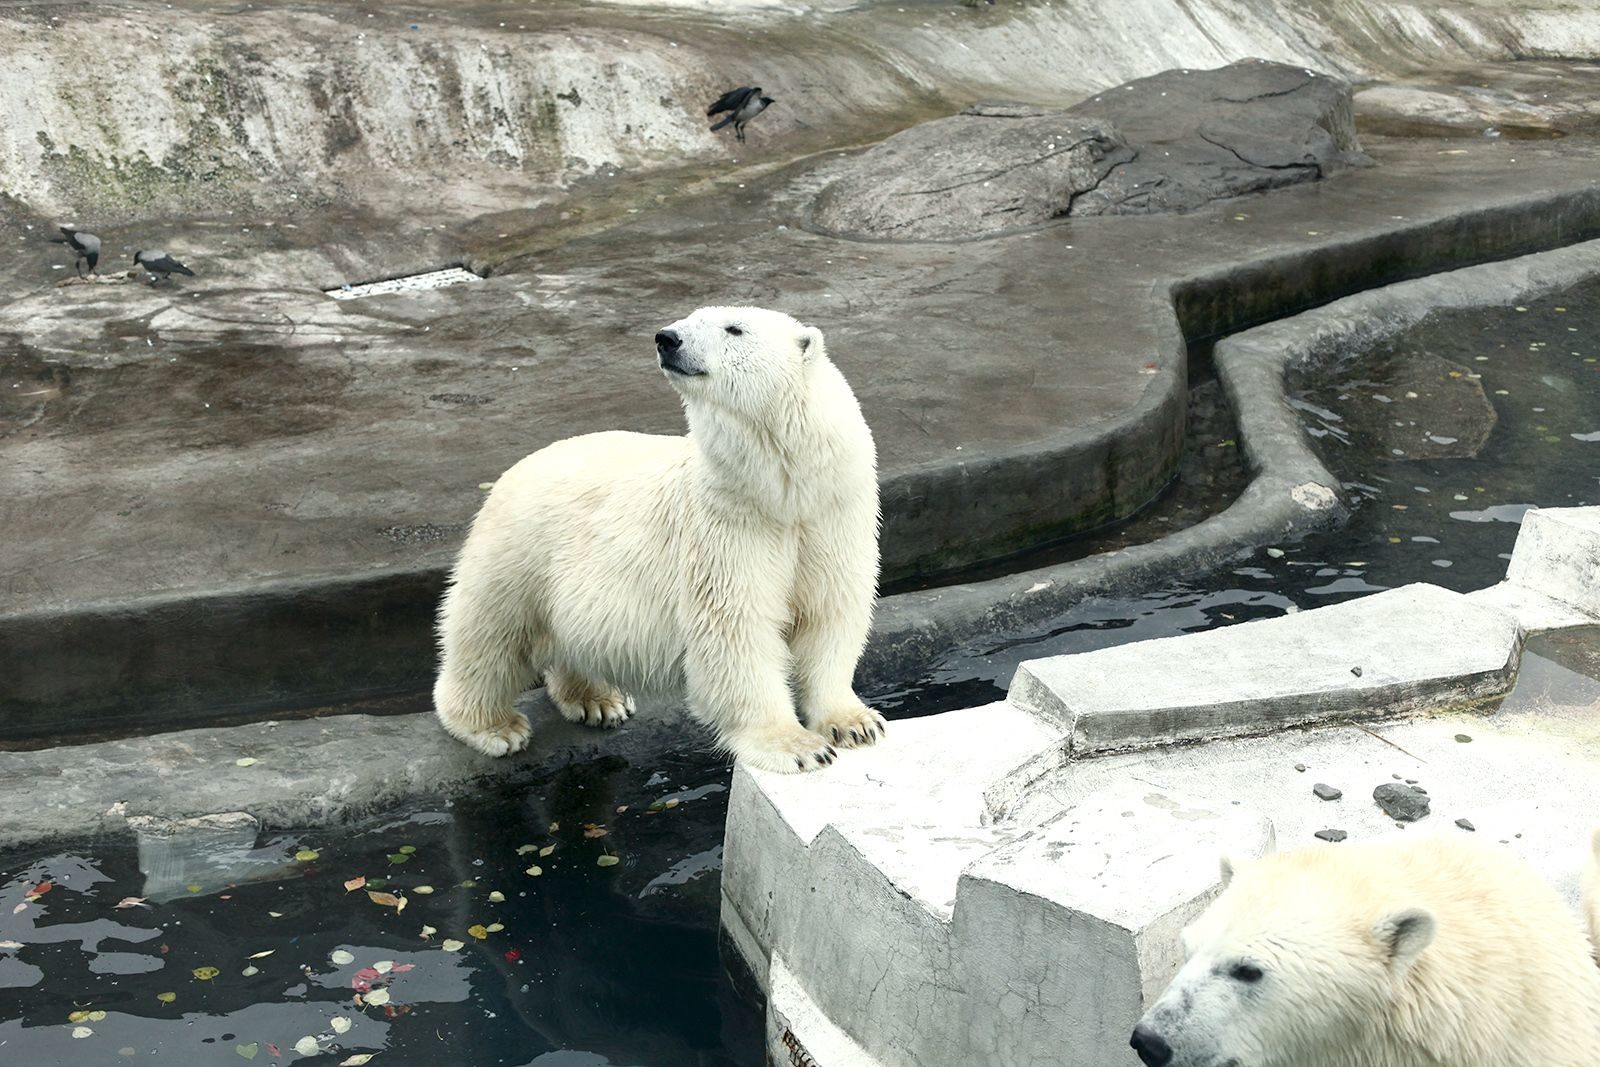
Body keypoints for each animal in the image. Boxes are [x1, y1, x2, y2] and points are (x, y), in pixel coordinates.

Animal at [435, 303, 889, 771]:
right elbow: (736, 627)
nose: (667, 338)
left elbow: (829, 612)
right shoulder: (725, 526)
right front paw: (797, 746)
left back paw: (599, 700)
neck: (783, 491)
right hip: (520, 551)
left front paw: (856, 724)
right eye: (691, 316)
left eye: (734, 328)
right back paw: (494, 726)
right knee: (490, 634)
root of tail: (515, 469)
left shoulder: (833, 514)